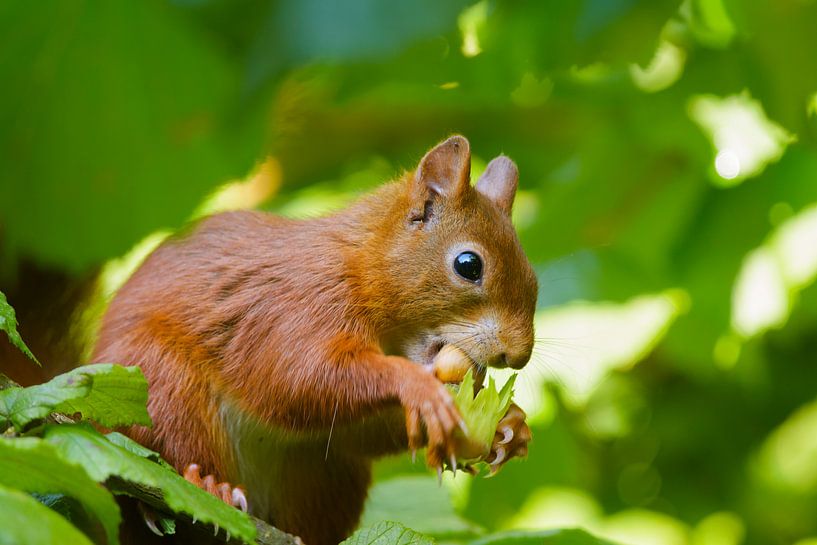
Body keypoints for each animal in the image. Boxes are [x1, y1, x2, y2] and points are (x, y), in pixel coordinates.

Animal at [94, 136, 536, 544]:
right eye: (468, 265)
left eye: (533, 279)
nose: (517, 356)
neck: (361, 265)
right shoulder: (299, 305)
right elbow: (296, 376)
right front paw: (416, 386)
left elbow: (351, 429)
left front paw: (509, 426)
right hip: (161, 383)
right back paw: (206, 486)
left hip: (321, 474)